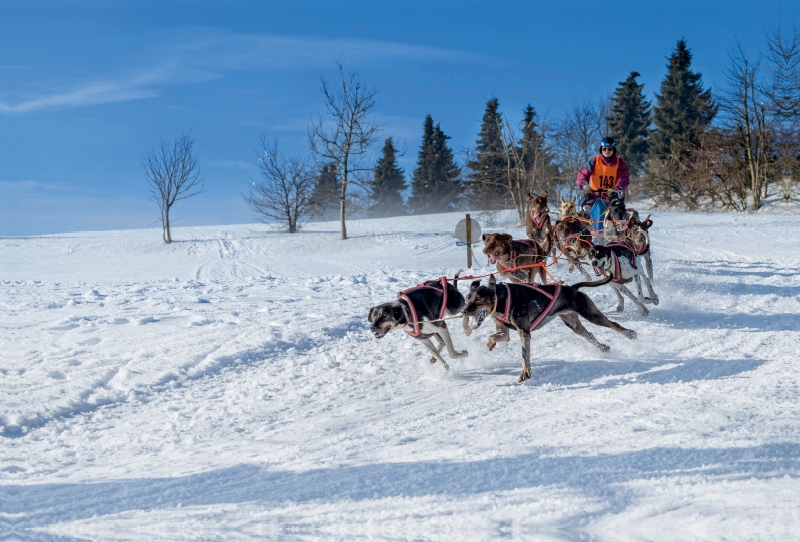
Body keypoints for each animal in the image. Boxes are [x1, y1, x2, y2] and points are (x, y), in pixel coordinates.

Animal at [462, 276, 636, 382]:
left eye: (478, 298)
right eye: (466, 298)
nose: (463, 310)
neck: (502, 299)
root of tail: (572, 288)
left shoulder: (524, 332)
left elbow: (525, 355)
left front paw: (526, 373)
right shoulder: (504, 332)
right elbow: (493, 336)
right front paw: (490, 344)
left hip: (591, 315)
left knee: (614, 325)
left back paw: (631, 334)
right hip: (573, 324)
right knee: (589, 334)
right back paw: (604, 348)